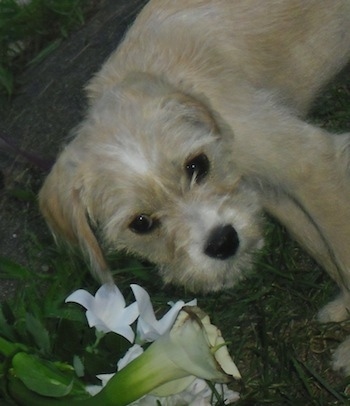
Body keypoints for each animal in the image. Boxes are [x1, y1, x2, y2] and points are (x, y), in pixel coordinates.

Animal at [38, 0, 350, 374]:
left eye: (197, 165)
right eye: (141, 223)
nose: (223, 243)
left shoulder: (311, 165)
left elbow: (342, 249)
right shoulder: (274, 191)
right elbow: (324, 249)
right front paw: (345, 306)